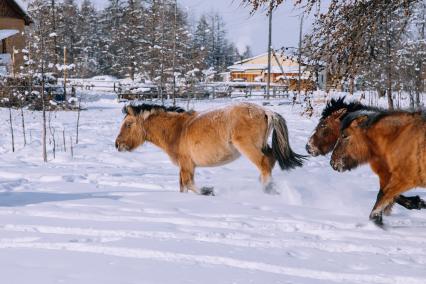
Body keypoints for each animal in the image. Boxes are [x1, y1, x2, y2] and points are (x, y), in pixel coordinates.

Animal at [115, 103, 304, 194]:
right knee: (271, 160)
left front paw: (208, 191)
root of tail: (266, 111)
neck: (177, 130)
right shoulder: (185, 166)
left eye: (128, 124)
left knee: (264, 164)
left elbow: (189, 184)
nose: (117, 145)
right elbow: (183, 186)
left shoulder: (187, 164)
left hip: (249, 148)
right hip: (262, 146)